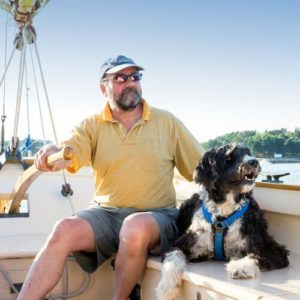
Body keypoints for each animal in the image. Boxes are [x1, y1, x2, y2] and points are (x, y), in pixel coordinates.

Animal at [156, 143, 290, 300]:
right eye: (229, 158)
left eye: (248, 153)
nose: (254, 161)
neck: (223, 216)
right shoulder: (181, 242)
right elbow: (173, 257)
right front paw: (165, 288)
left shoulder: (272, 248)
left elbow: (257, 255)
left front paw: (240, 266)